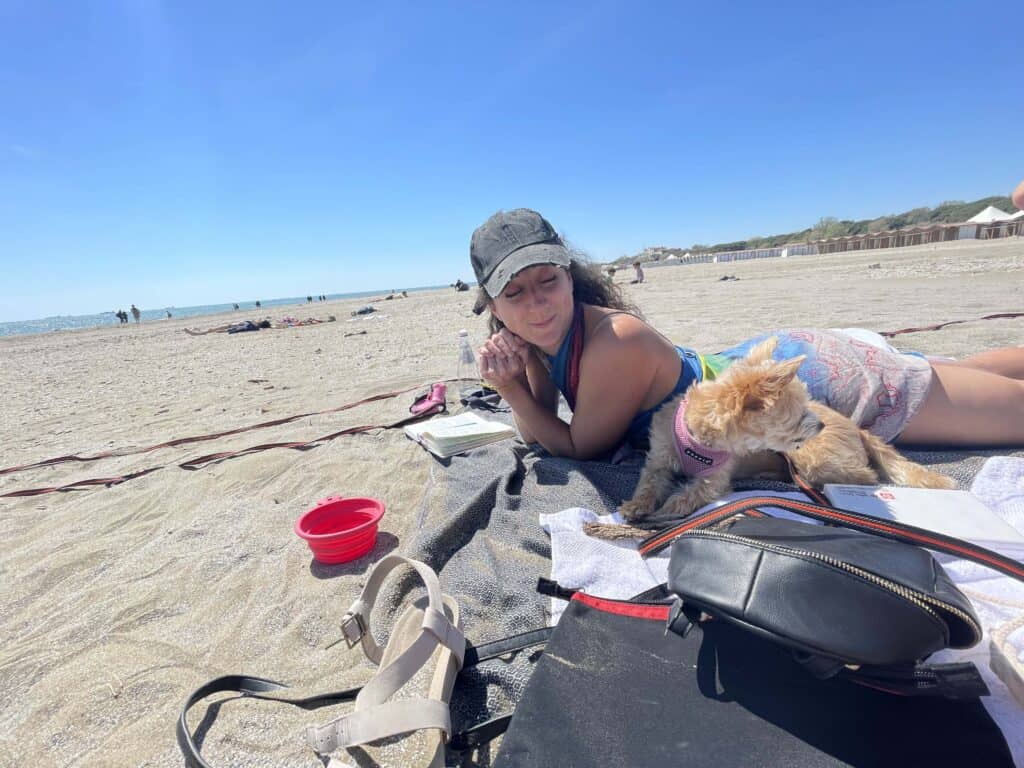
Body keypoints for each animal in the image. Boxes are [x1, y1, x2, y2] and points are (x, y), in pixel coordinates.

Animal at [589, 335, 954, 540]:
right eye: (799, 415)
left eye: (809, 407)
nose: (819, 424)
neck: (699, 443)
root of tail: (857, 429)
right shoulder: (659, 460)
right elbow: (649, 485)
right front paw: (637, 506)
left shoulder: (712, 483)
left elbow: (683, 498)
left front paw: (662, 513)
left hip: (813, 460)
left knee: (867, 476)